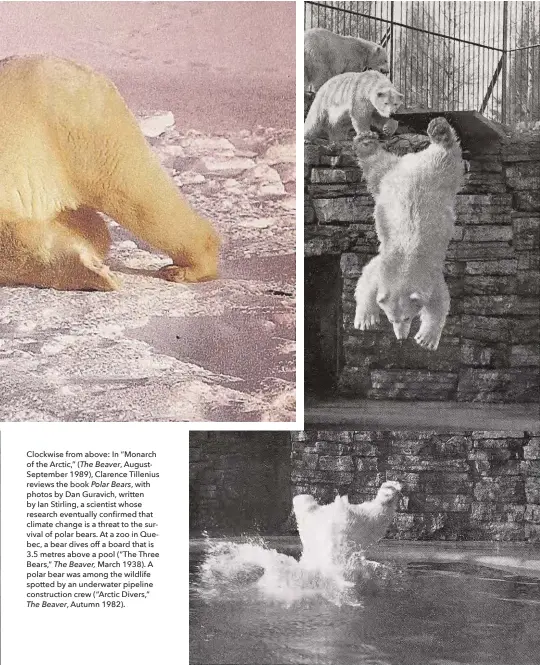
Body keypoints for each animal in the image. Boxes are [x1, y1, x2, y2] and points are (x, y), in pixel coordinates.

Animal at [354, 116, 464, 350]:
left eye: (407, 318)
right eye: (390, 318)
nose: (401, 337)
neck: (406, 260)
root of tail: (414, 160)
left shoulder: (430, 276)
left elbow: (439, 303)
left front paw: (425, 339)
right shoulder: (384, 265)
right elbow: (367, 278)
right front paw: (366, 320)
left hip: (443, 171)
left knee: (449, 152)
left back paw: (439, 130)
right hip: (390, 175)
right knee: (375, 165)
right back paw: (366, 142)